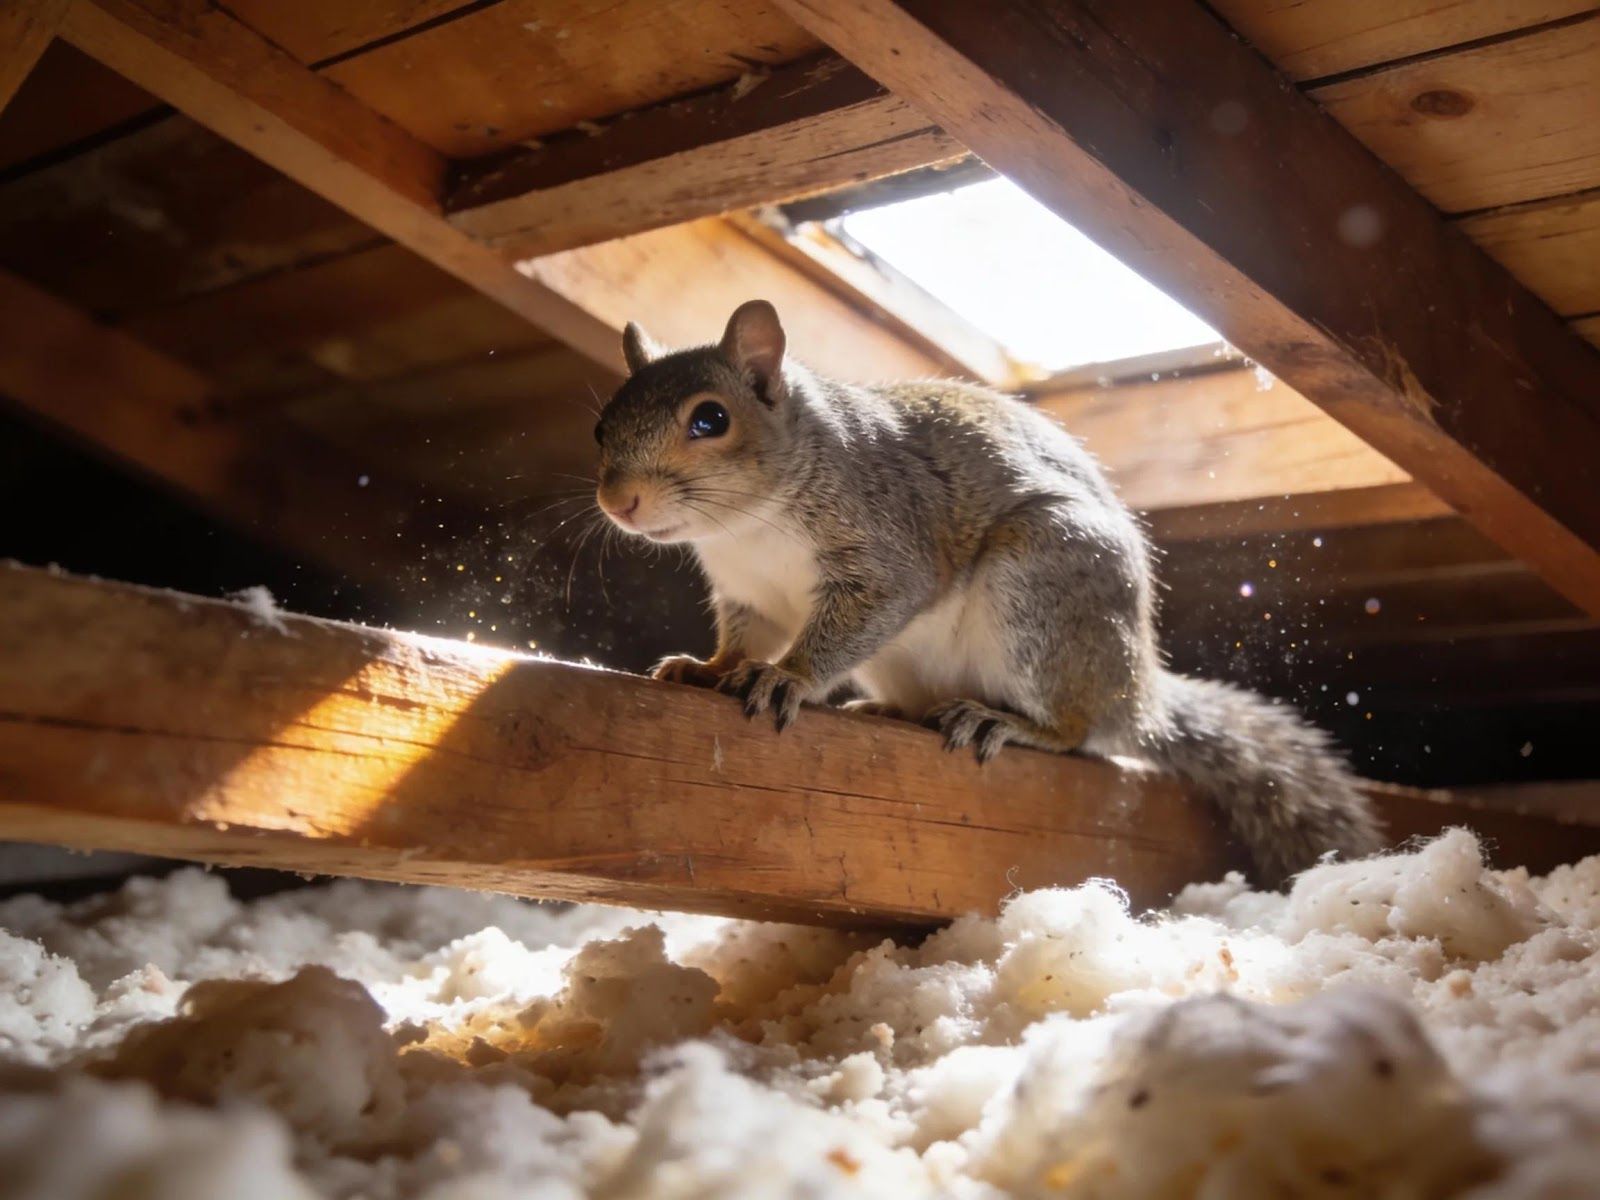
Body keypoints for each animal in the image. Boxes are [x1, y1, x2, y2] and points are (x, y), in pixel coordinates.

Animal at [592, 300, 1383, 884]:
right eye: (602, 426)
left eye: (710, 419)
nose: (618, 501)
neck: (745, 527)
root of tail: (1139, 696)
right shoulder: (748, 595)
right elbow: (740, 640)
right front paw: (709, 668)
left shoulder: (888, 548)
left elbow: (857, 617)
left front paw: (787, 677)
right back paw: (891, 709)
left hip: (1038, 587)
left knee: (1078, 733)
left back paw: (1005, 721)